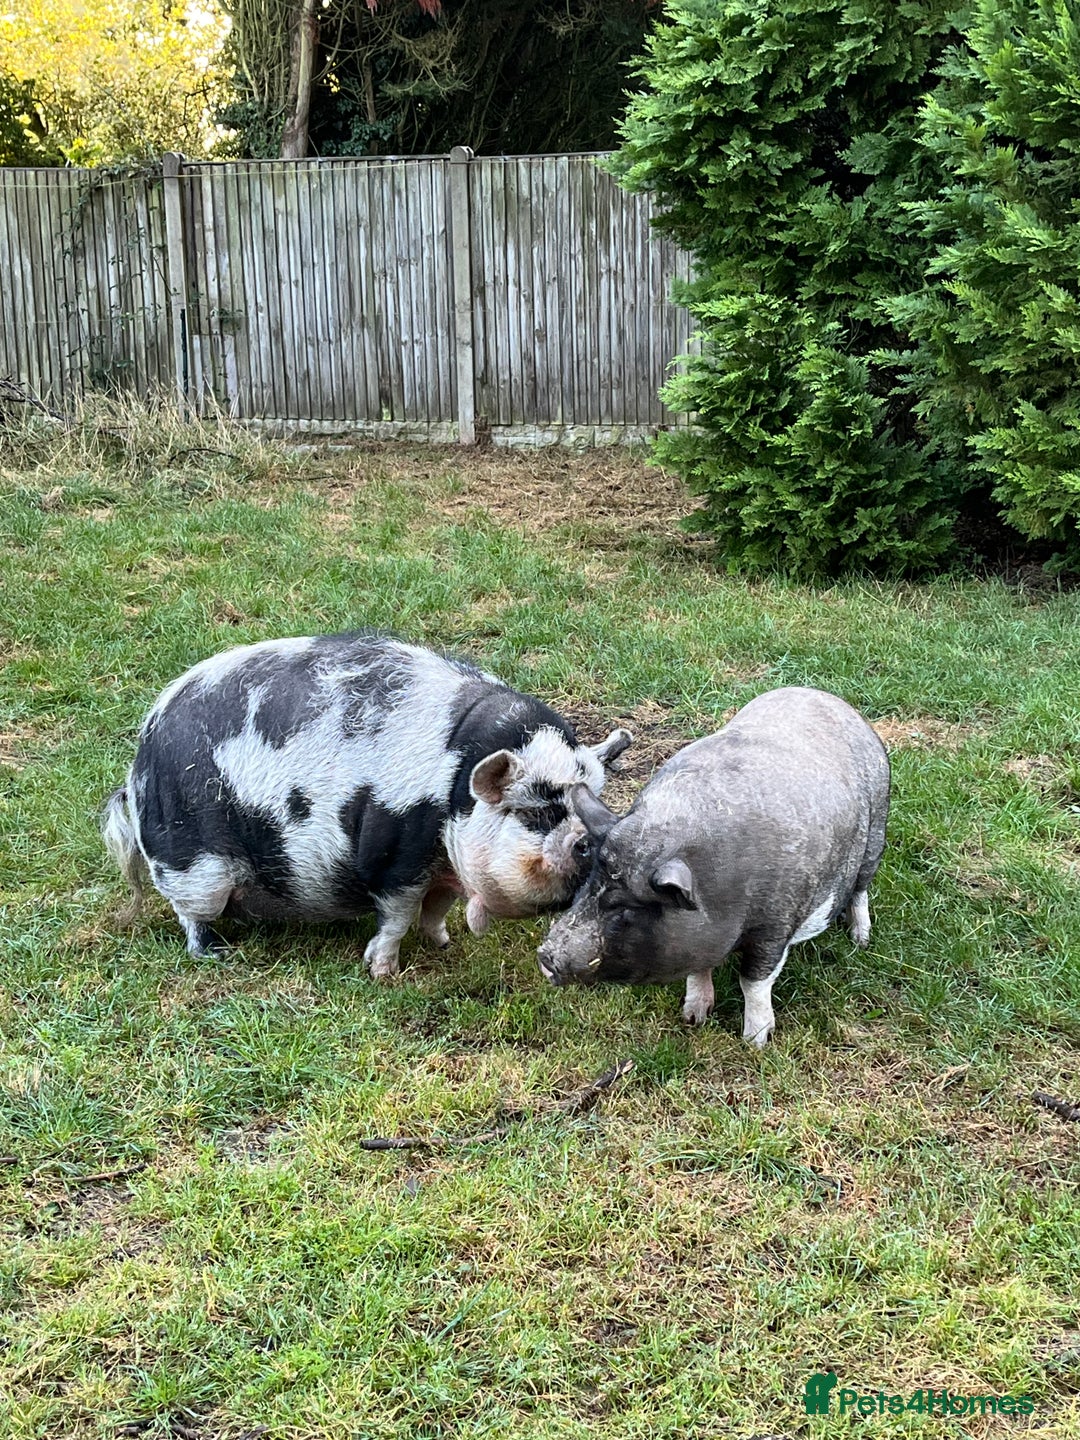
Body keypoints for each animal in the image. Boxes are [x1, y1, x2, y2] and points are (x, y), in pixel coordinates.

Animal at [102, 632, 631, 975]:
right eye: (537, 809)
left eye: (592, 798)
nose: (590, 841)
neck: (455, 788)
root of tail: (140, 759)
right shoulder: (397, 850)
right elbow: (398, 914)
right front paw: (384, 974)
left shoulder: (443, 866)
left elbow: (436, 909)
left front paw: (443, 945)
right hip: (193, 860)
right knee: (190, 913)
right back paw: (215, 955)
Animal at [537, 687, 889, 1046]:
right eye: (588, 884)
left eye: (626, 909)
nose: (545, 957)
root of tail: (831, 699)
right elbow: (698, 967)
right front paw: (694, 1018)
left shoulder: (776, 923)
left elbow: (754, 980)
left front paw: (755, 1042)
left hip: (876, 833)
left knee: (860, 890)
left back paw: (860, 939)